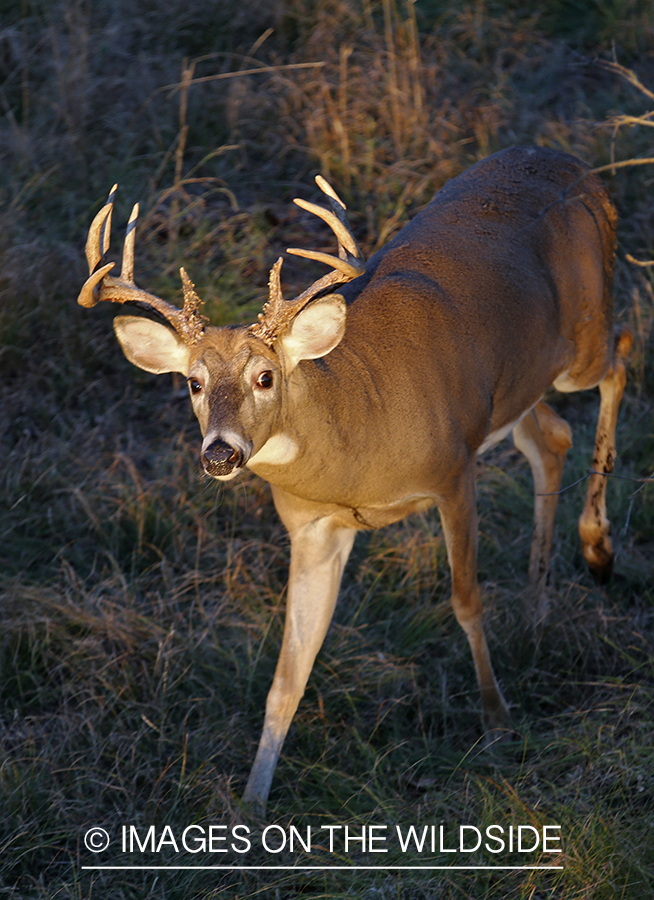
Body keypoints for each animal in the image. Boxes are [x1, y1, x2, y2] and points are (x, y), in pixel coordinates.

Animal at [78, 144, 636, 812]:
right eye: (192, 382)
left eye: (265, 376)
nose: (219, 455)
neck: (358, 435)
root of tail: (576, 165)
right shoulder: (312, 529)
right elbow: (288, 672)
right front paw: (253, 802)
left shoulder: (453, 473)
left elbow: (466, 599)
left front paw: (498, 720)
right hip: (518, 387)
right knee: (551, 438)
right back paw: (537, 603)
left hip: (582, 338)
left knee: (622, 352)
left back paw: (598, 548)